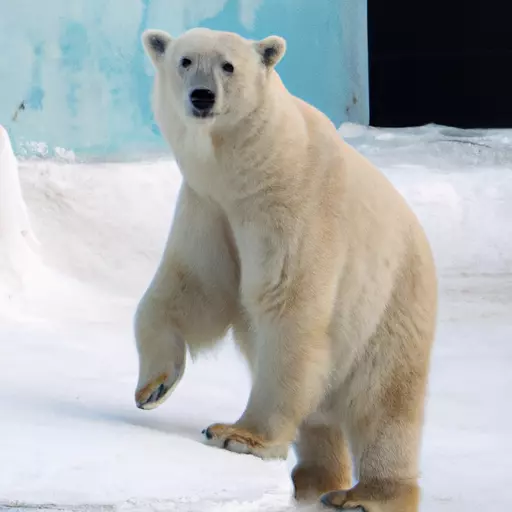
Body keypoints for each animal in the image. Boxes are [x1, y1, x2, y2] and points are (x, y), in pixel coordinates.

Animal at [134, 28, 438, 512]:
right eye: (185, 61)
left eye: (228, 66)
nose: (202, 96)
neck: (254, 166)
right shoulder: (209, 206)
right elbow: (195, 286)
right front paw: (153, 387)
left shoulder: (294, 206)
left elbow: (289, 308)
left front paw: (239, 435)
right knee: (321, 413)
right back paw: (312, 477)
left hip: (393, 304)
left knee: (383, 400)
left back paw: (367, 495)